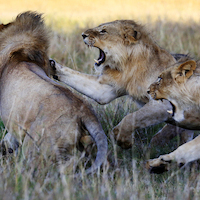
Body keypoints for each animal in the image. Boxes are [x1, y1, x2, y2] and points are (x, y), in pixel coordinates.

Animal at [50, 19, 194, 149]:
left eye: (103, 31)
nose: (82, 35)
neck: (128, 65)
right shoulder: (106, 90)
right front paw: (52, 64)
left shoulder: (164, 103)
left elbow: (131, 118)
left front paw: (123, 140)